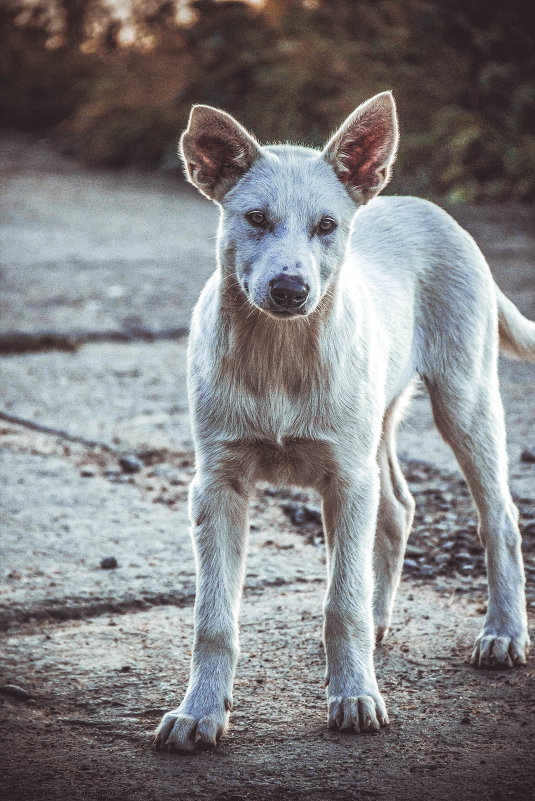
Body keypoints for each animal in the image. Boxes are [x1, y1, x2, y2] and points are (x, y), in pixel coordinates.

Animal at [154, 94, 532, 752]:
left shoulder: (346, 481)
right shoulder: (218, 485)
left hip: (464, 400)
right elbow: (213, 617)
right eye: (255, 218)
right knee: (398, 508)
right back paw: (381, 624)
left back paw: (503, 634)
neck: (279, 354)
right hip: (375, 425)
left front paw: (355, 695)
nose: (289, 288)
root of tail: (426, 207)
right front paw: (199, 711)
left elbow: (341, 602)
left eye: (327, 226)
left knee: (500, 517)